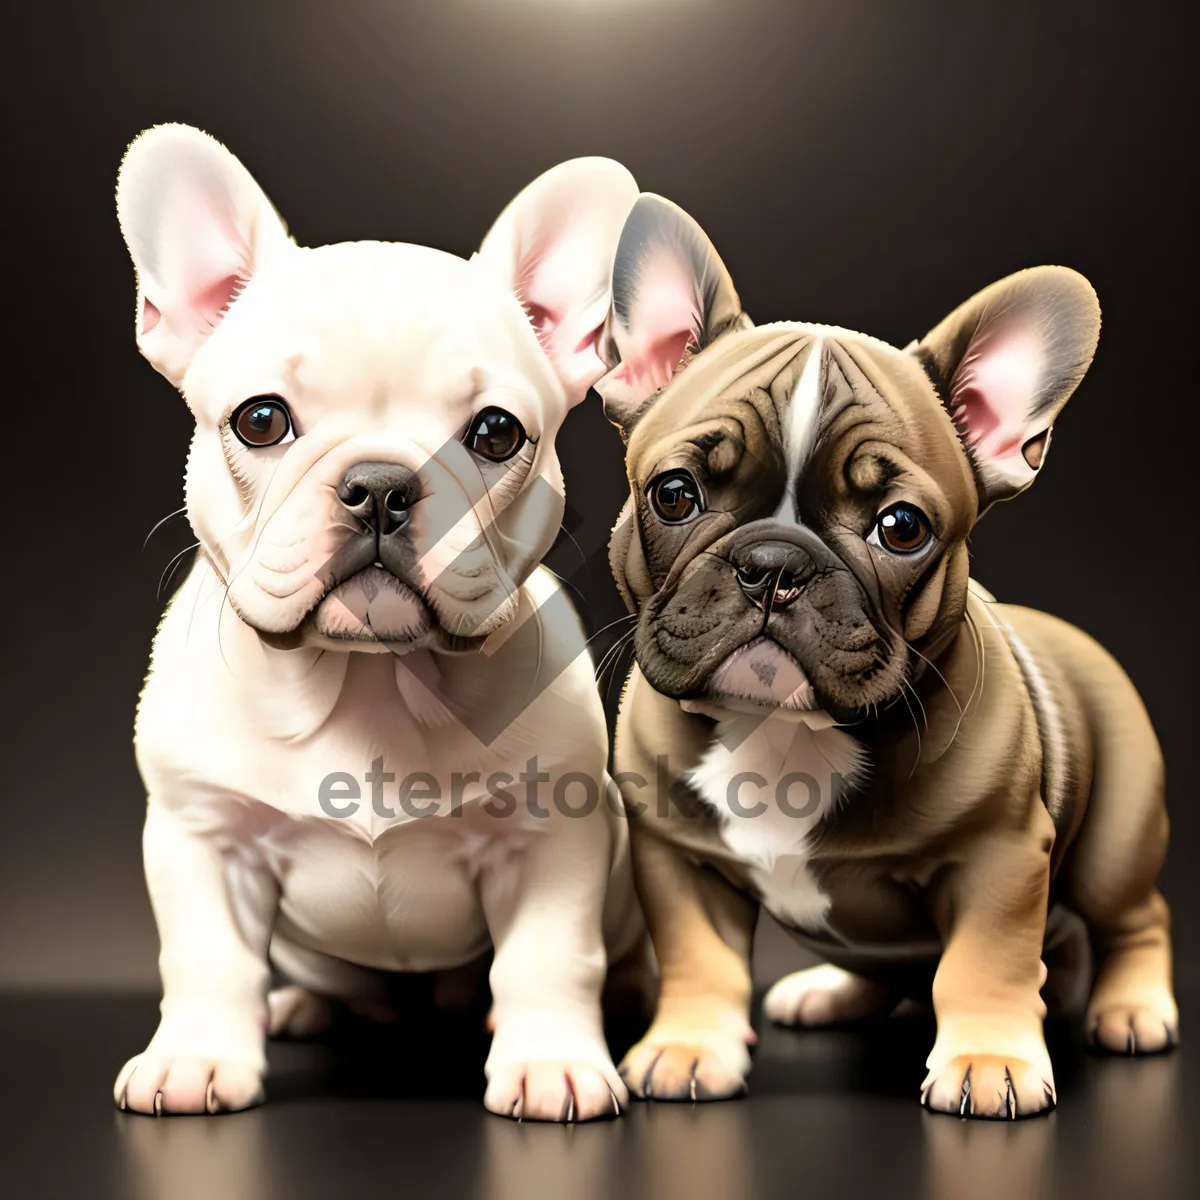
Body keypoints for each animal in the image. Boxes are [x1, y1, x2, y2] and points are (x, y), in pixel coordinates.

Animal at [112, 126, 648, 1118]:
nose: (380, 487)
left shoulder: (551, 843)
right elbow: (207, 960)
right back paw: (301, 1007)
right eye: (261, 420)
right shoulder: (201, 836)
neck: (367, 677)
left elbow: (549, 959)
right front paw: (196, 1058)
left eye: (495, 434)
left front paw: (551, 1062)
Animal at [595, 192, 1176, 1118]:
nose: (775, 568)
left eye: (901, 527)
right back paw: (829, 993)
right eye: (674, 494)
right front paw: (687, 1048)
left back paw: (1132, 1008)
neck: (784, 733)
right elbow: (698, 958)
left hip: (1118, 839)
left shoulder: (999, 856)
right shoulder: (680, 859)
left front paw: (989, 1062)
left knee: (1134, 918)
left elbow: (985, 963)